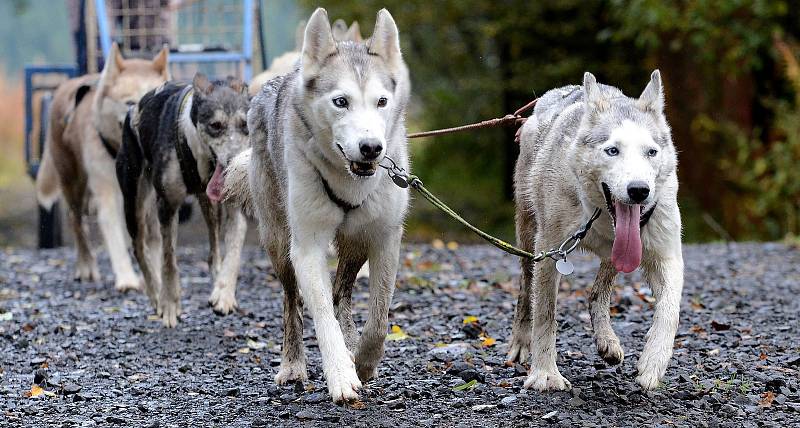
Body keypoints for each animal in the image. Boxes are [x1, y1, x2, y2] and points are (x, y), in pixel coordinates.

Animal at [37, 43, 170, 290]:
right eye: (129, 103)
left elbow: (154, 240)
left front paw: (154, 275)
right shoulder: (107, 193)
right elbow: (115, 236)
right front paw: (127, 278)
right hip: (73, 183)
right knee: (77, 221)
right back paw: (86, 266)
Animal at [115, 74, 250, 328]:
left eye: (244, 125)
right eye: (215, 125)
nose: (233, 164)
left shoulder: (233, 208)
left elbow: (234, 252)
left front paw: (224, 294)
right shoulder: (167, 206)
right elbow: (169, 260)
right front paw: (169, 303)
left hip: (209, 205)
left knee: (214, 245)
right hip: (134, 202)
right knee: (139, 248)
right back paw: (156, 293)